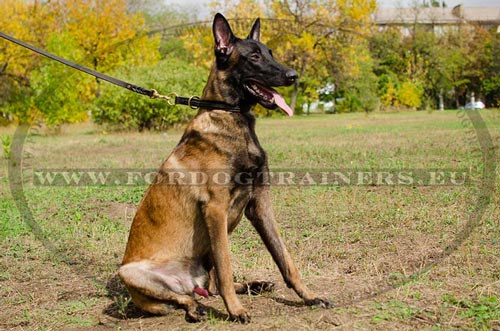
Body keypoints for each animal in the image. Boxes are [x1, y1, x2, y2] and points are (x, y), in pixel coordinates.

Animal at [119, 13, 332, 324]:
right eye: (254, 57)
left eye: (270, 53)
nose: (293, 75)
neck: (232, 118)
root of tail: (188, 283)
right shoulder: (215, 209)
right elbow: (226, 267)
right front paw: (236, 311)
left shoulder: (260, 204)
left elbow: (285, 259)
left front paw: (310, 296)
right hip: (130, 272)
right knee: (190, 295)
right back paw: (196, 308)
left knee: (212, 286)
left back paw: (253, 285)